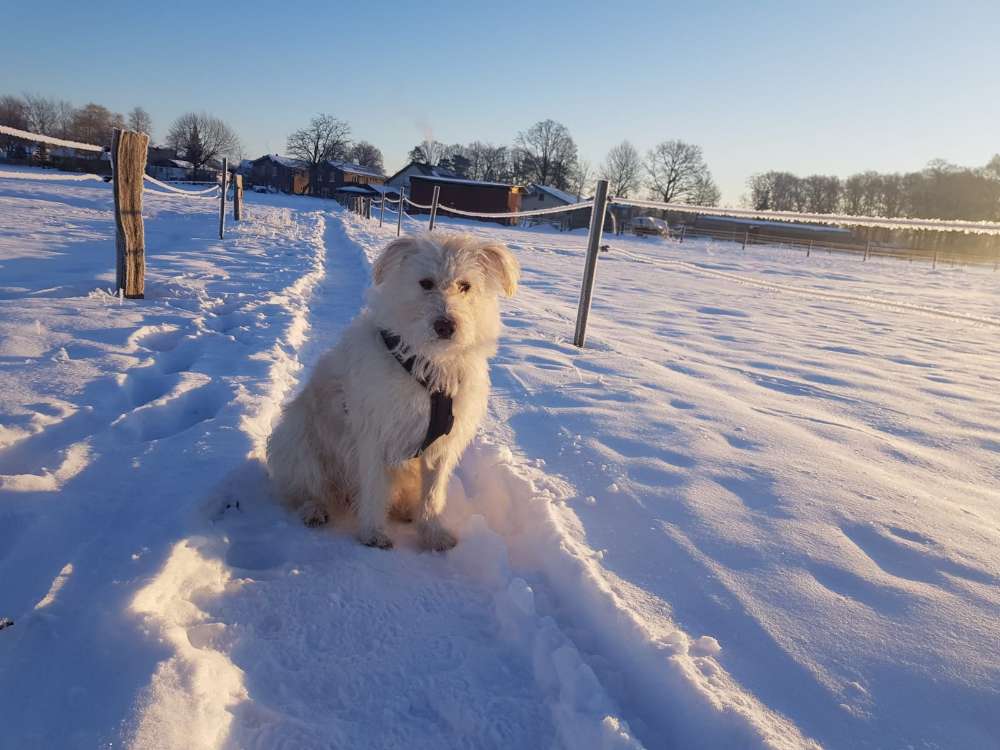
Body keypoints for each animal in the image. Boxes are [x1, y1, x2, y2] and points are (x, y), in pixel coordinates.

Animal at [266, 235, 520, 552]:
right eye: (425, 283)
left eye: (465, 285)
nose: (445, 325)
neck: (429, 364)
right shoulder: (374, 436)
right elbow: (375, 488)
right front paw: (373, 533)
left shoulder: (442, 447)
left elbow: (433, 494)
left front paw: (433, 532)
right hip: (298, 444)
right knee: (306, 488)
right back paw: (314, 509)